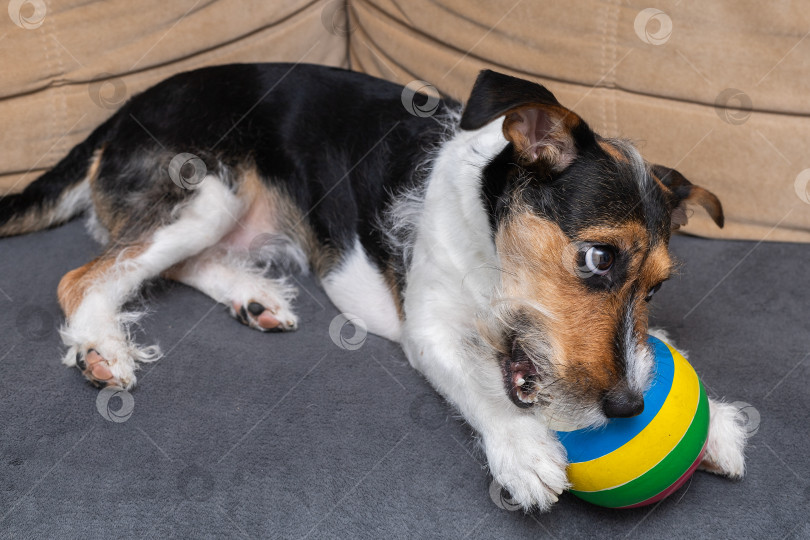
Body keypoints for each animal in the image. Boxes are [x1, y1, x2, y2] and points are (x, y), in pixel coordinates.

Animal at [0, 64, 744, 510]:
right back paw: (101, 346)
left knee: (177, 263)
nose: (627, 408)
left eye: (657, 288)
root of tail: (126, 105)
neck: (483, 224)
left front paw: (714, 422)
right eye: (597, 257)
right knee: (84, 276)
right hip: (208, 188)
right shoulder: (429, 327)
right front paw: (523, 450)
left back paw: (254, 296)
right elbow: (478, 385)